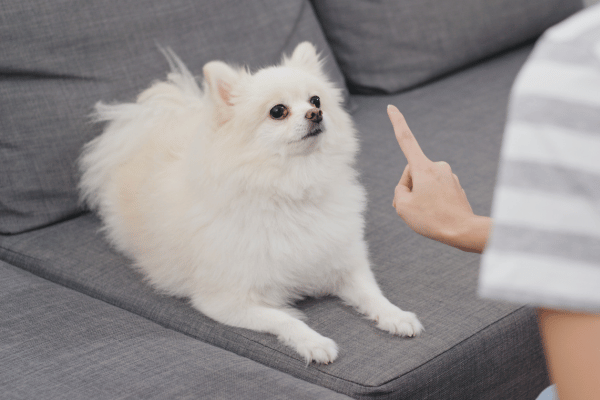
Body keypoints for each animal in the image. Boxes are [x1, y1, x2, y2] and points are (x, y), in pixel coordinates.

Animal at [79, 42, 422, 364]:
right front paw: (314, 342)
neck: (291, 189)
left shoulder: (345, 264)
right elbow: (284, 319)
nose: (316, 114)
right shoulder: (225, 302)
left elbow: (371, 294)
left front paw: (396, 315)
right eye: (278, 111)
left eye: (316, 101)